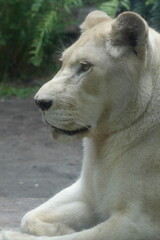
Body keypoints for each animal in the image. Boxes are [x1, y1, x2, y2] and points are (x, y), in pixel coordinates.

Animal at [0, 10, 160, 240]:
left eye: (85, 67)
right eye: (62, 62)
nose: (38, 102)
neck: (102, 146)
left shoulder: (140, 222)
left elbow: (77, 237)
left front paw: (11, 234)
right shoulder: (86, 191)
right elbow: (28, 216)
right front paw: (60, 228)